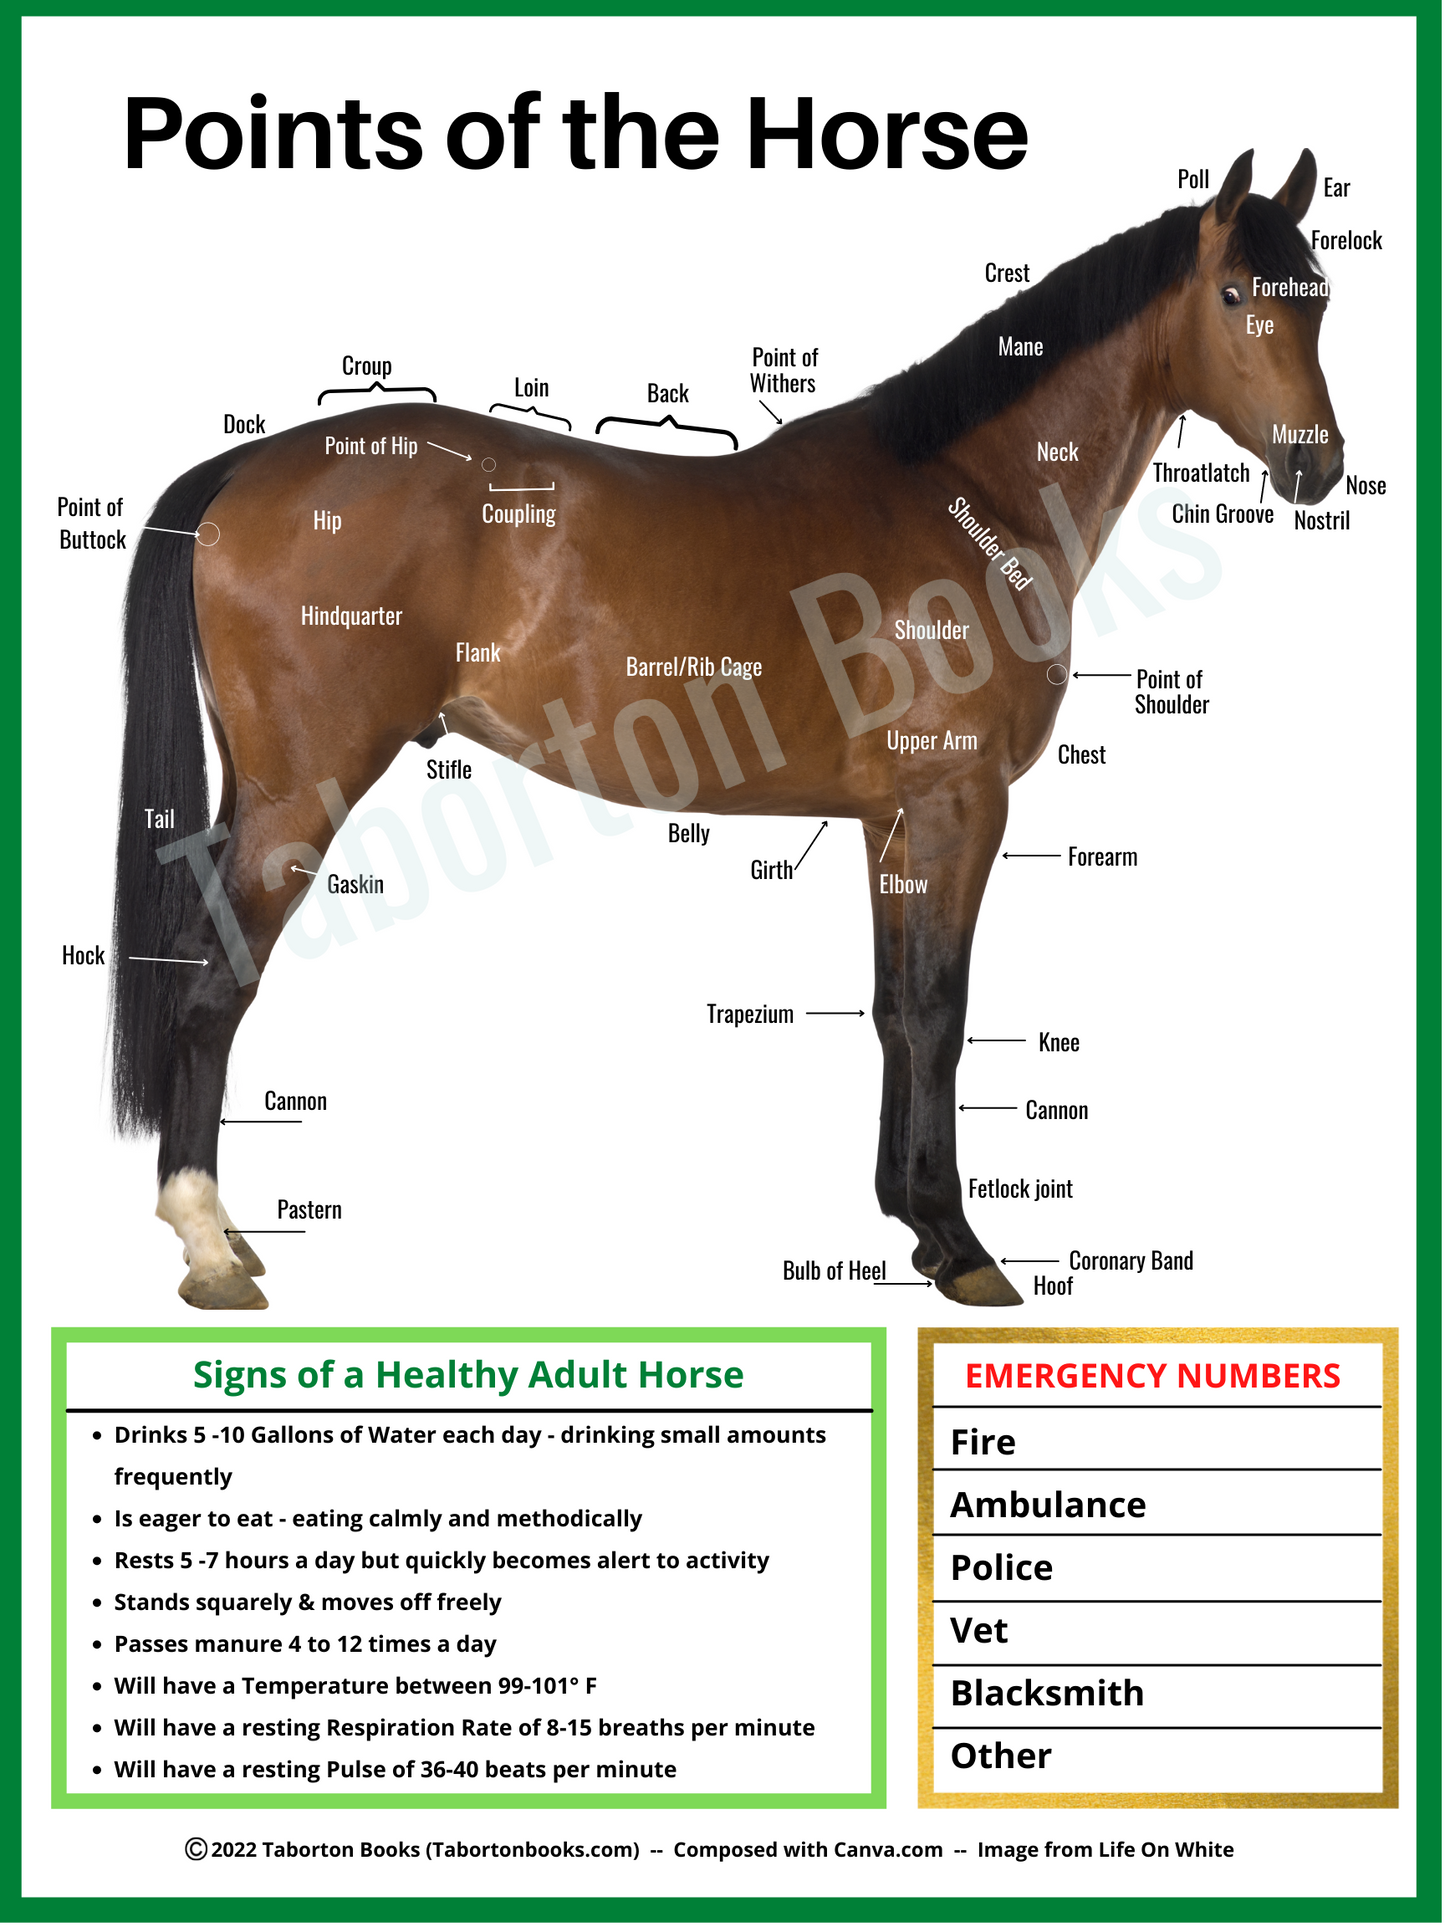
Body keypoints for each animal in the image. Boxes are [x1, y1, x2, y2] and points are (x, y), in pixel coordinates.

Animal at [111, 147, 1342, 1312]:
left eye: (1318, 294)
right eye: (1234, 293)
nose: (1316, 465)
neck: (966, 493)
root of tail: (246, 465)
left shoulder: (891, 821)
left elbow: (892, 1011)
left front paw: (910, 1223)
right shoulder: (959, 805)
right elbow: (940, 1012)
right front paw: (961, 1246)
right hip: (299, 794)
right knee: (216, 982)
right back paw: (210, 1248)